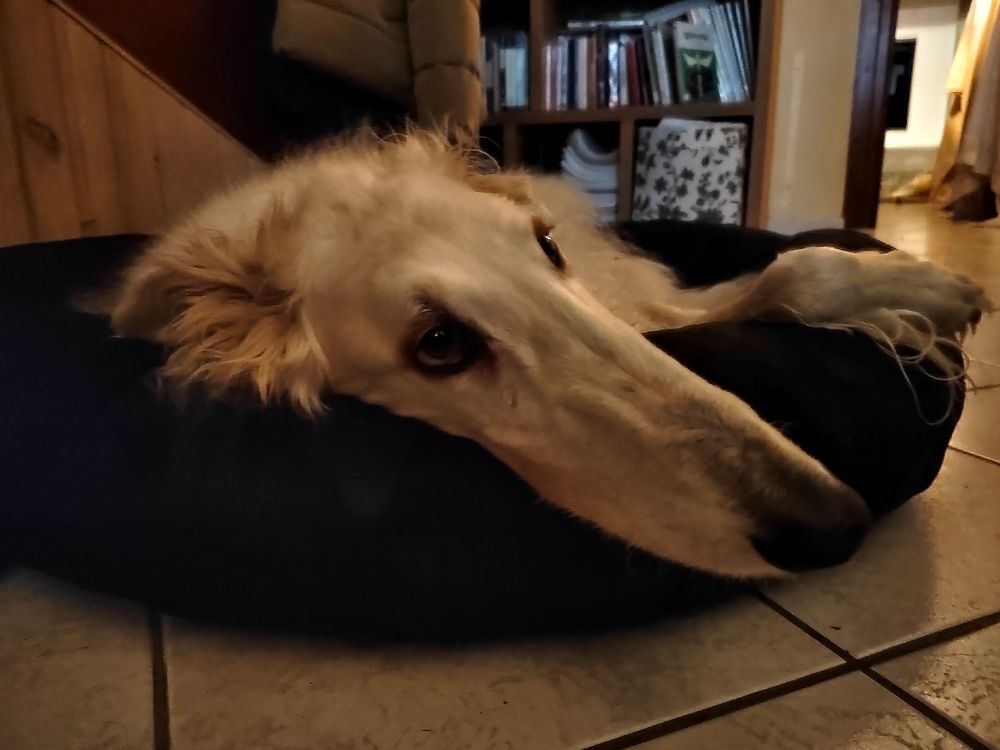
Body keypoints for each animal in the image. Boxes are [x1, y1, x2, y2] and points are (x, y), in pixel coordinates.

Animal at [93, 132, 993, 578]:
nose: (834, 524)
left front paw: (920, 285)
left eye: (546, 247)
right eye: (440, 345)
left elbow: (786, 273)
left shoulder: (631, 299)